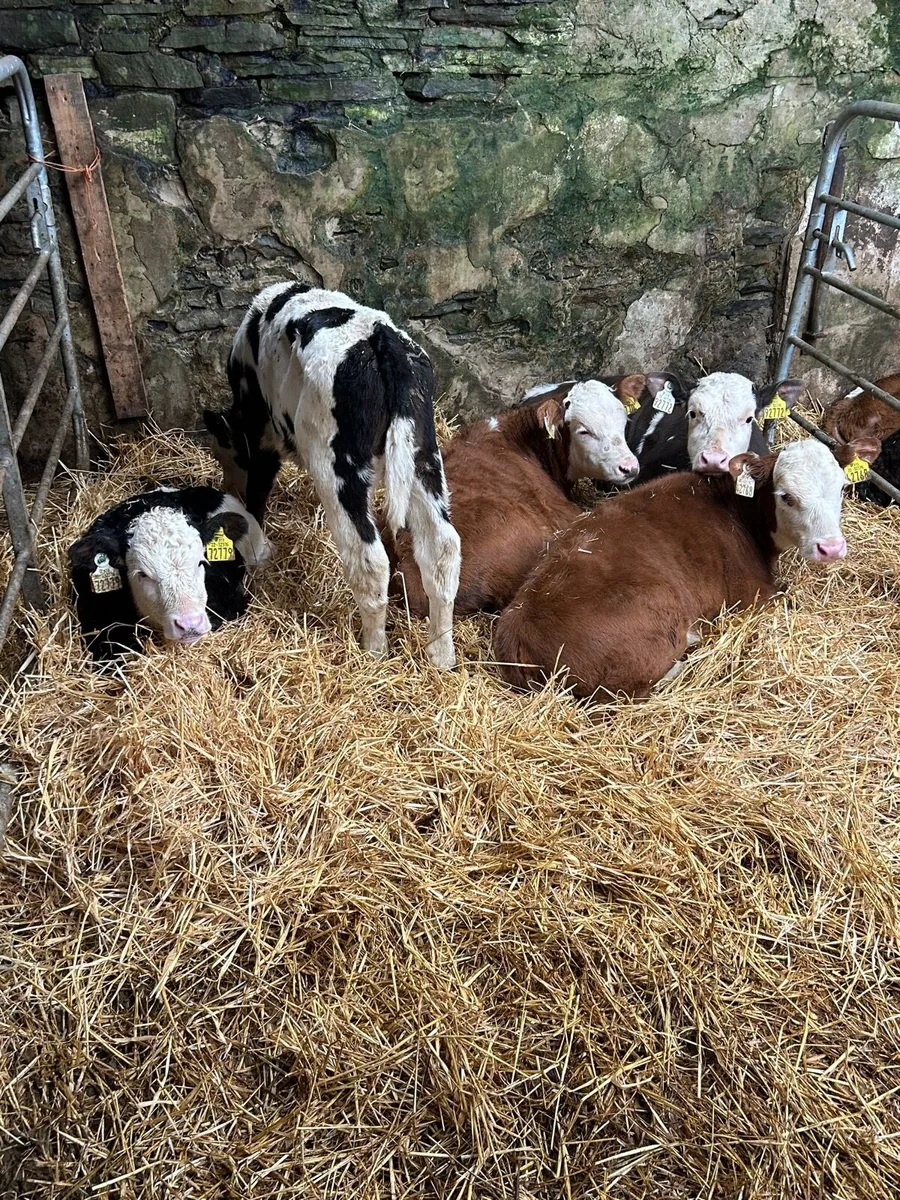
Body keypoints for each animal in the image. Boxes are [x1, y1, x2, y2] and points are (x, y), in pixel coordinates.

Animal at [203, 282, 462, 669]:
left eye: (224, 454)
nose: (226, 488)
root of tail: (379, 338)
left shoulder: (260, 432)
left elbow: (258, 493)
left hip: (338, 467)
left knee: (369, 560)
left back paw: (373, 652)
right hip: (423, 455)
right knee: (442, 549)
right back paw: (441, 656)